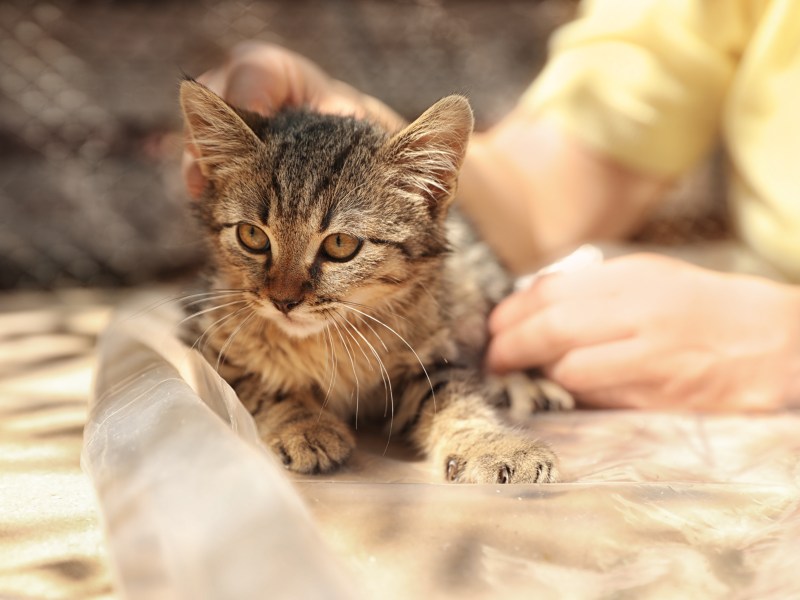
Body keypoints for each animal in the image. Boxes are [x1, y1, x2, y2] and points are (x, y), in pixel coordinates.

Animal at [178, 78, 564, 482]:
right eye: (252, 235)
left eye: (340, 244)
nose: (283, 301)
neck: (328, 341)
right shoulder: (206, 337)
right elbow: (262, 384)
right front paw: (303, 426)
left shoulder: (431, 354)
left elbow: (454, 398)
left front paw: (494, 443)